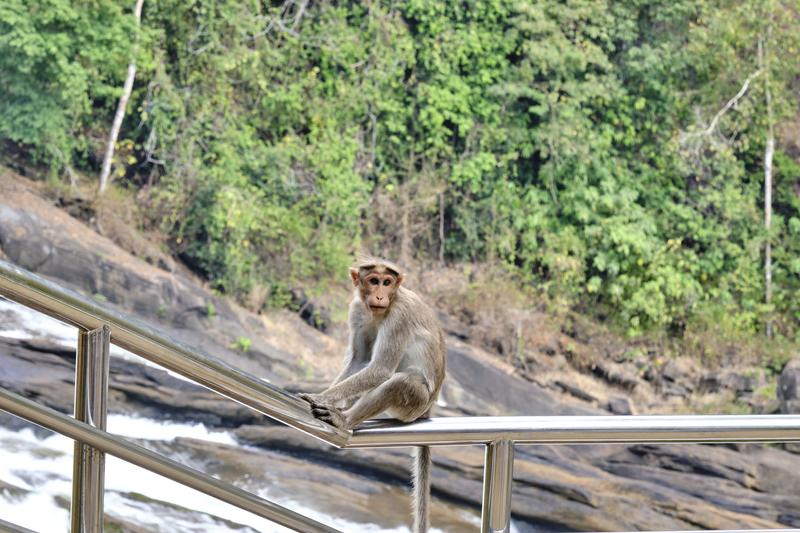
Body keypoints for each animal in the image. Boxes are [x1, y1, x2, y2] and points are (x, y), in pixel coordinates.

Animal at [304, 256, 446, 528]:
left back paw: (345, 419)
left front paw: (322, 397)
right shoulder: (357, 310)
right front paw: (329, 394)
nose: (380, 296)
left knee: (401, 382)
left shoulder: (400, 317)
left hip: (415, 403)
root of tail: (430, 405)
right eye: (373, 281)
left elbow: (380, 369)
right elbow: (360, 359)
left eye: (387, 282)